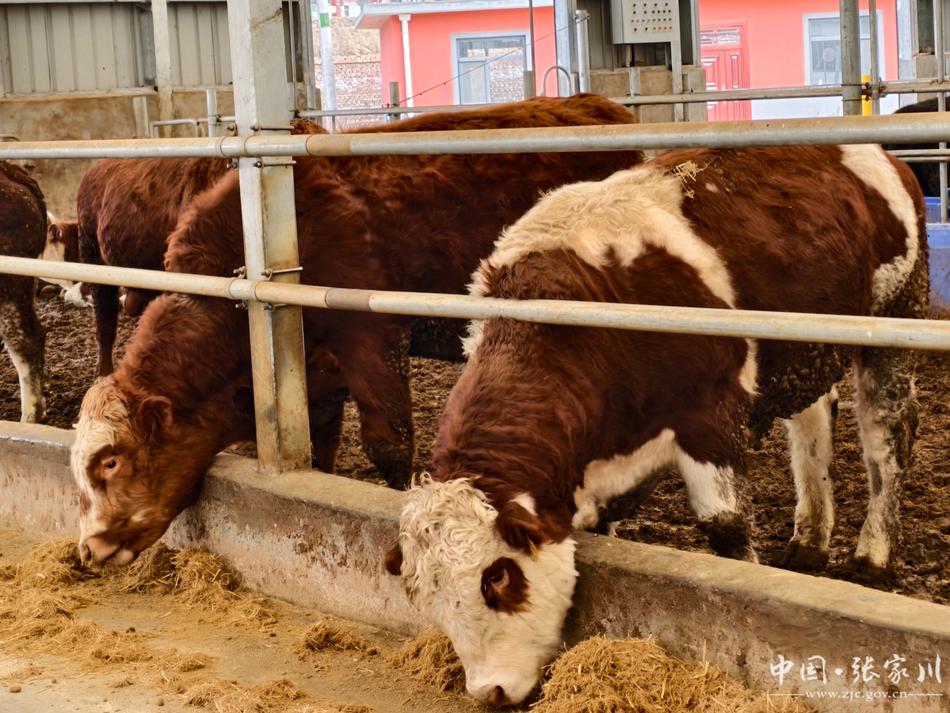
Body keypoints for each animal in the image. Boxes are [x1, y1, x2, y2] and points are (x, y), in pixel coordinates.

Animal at [69, 94, 645, 568]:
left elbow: (390, 442)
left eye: (112, 461)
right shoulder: (316, 374)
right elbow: (320, 442)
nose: (89, 548)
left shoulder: (374, 337)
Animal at [384, 144, 929, 706]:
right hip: (806, 350)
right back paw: (809, 539)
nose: (489, 690)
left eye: (497, 578)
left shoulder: (713, 414)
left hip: (898, 315)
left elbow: (725, 524)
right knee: (813, 421)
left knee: (887, 437)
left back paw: (873, 554)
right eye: (426, 598)